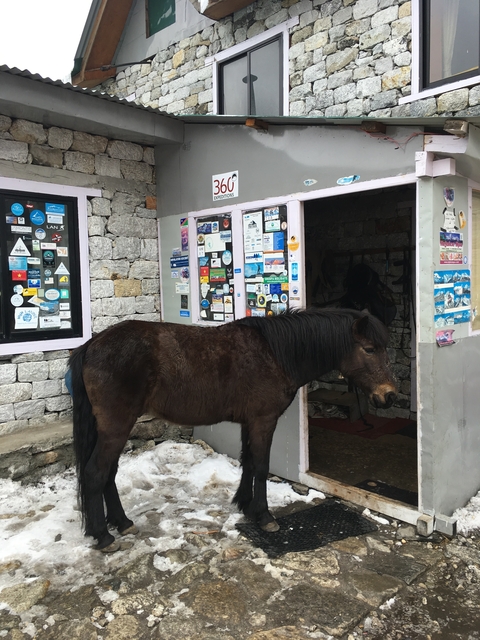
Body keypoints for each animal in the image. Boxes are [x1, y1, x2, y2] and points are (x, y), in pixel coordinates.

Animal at [69, 307, 397, 552]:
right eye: (369, 349)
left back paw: (122, 522)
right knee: (96, 473)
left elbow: (248, 461)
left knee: (108, 473)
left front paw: (245, 505)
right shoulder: (264, 420)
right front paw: (264, 516)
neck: (274, 353)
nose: (389, 396)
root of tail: (92, 345)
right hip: (116, 426)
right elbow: (261, 466)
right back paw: (103, 536)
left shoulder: (250, 422)